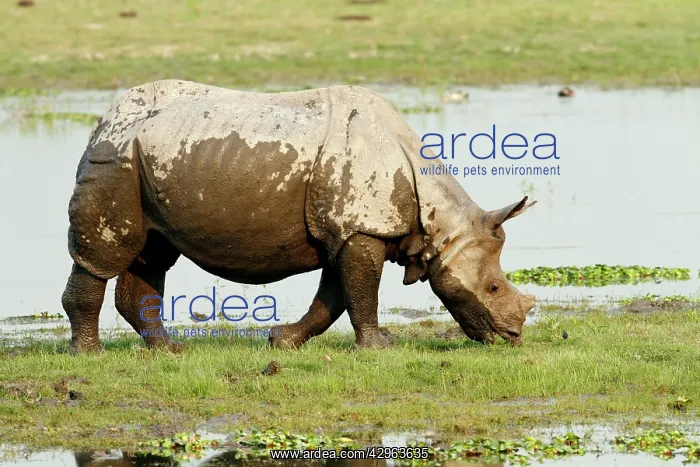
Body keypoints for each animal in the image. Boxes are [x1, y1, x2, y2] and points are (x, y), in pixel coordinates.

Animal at [61, 80, 536, 353]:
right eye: (493, 287)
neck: (440, 223)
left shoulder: (344, 232)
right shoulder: (360, 229)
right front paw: (380, 348)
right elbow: (361, 293)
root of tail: (105, 117)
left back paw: (168, 351)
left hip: (147, 158)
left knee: (151, 251)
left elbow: (334, 297)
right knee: (104, 255)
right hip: (117, 158)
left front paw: (281, 341)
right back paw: (90, 354)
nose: (514, 337)